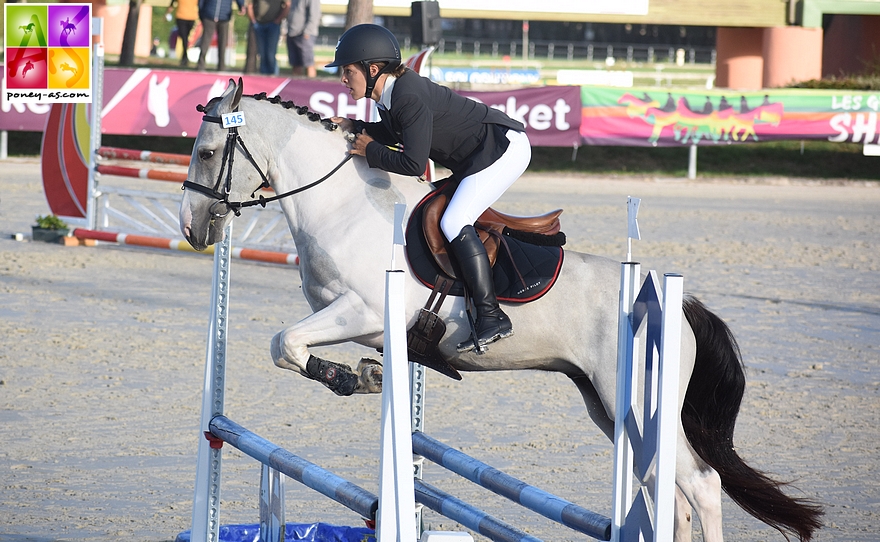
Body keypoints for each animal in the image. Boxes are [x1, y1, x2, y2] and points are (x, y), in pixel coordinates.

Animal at [180, 81, 824, 542]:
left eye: (208, 152)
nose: (192, 230)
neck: (341, 203)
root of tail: (676, 303)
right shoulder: (357, 321)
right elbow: (289, 346)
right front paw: (360, 374)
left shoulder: (362, 311)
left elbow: (285, 343)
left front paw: (353, 378)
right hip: (608, 406)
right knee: (674, 496)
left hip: (631, 400)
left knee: (703, 485)